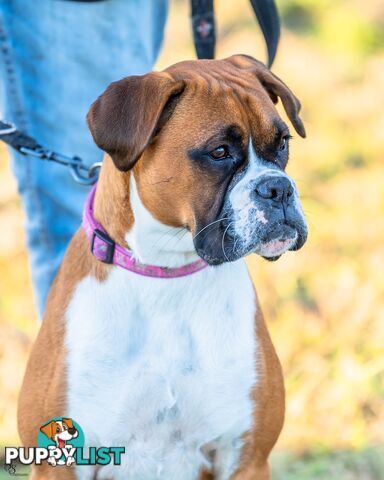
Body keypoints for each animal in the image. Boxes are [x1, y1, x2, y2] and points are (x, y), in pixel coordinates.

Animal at [18, 54, 308, 478]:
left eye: (282, 143)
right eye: (219, 152)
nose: (278, 188)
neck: (167, 272)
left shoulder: (247, 458)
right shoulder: (58, 465)